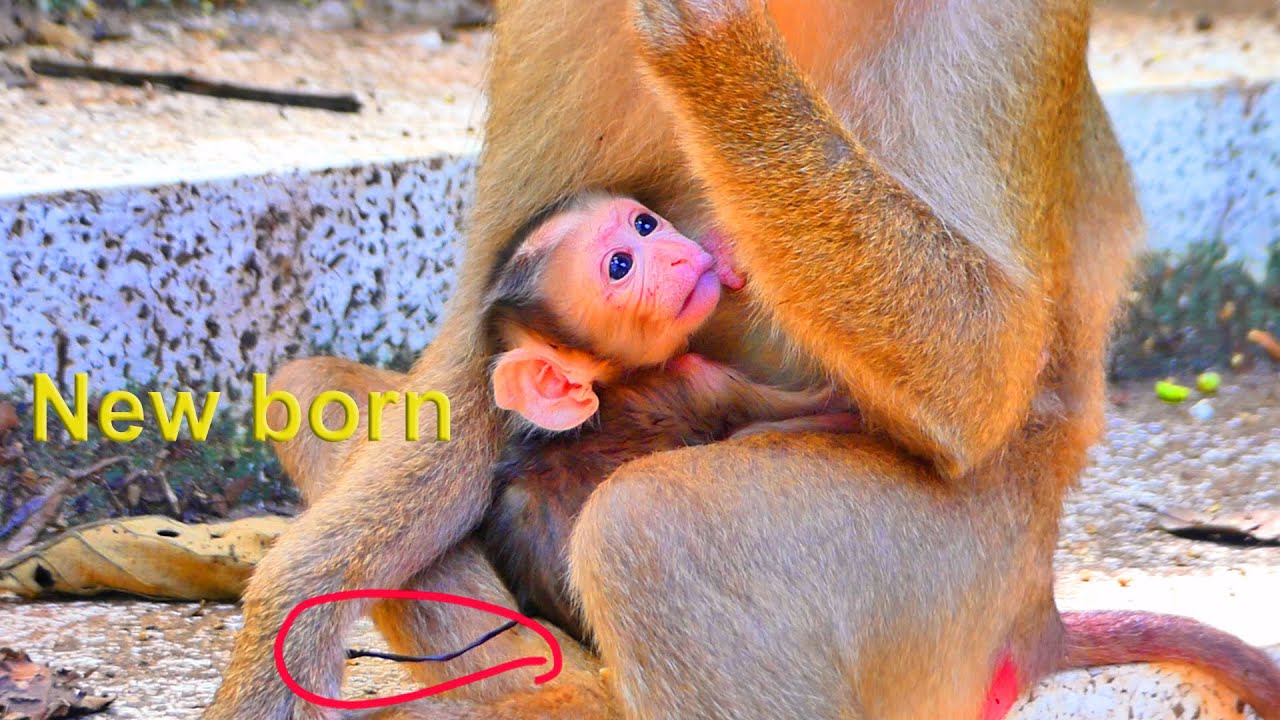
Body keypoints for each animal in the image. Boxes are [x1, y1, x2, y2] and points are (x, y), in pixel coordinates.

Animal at [205, 1, 1280, 719]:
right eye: (622, 254)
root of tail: (1033, 616)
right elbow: (478, 335)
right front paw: (284, 629)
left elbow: (983, 376)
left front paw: (712, 48)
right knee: (311, 390)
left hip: (959, 583)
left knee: (652, 530)